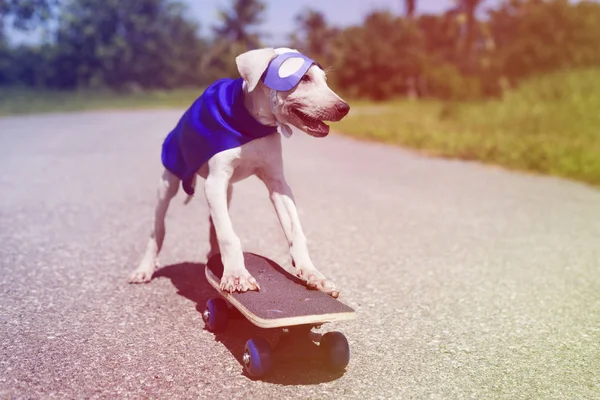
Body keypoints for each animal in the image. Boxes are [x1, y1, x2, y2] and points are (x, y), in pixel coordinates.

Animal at [129, 47, 350, 296]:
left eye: (324, 80)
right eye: (304, 79)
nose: (344, 108)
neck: (251, 124)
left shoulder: (277, 183)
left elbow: (295, 230)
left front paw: (313, 273)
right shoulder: (215, 182)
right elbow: (228, 234)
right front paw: (236, 275)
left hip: (227, 191)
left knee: (213, 221)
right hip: (169, 181)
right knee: (158, 228)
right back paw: (145, 268)